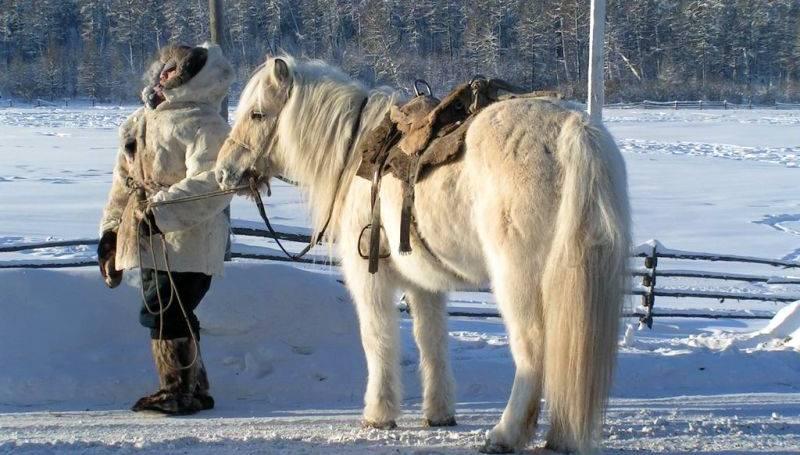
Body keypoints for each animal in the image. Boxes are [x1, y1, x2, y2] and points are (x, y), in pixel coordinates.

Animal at [214, 56, 630, 454]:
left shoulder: (371, 279)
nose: (222, 171)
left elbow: (378, 340)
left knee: (534, 350)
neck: (354, 155)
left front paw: (378, 415)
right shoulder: (425, 285)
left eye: (257, 114)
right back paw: (562, 435)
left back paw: (506, 434)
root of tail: (574, 130)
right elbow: (432, 342)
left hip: (519, 281)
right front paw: (439, 414)